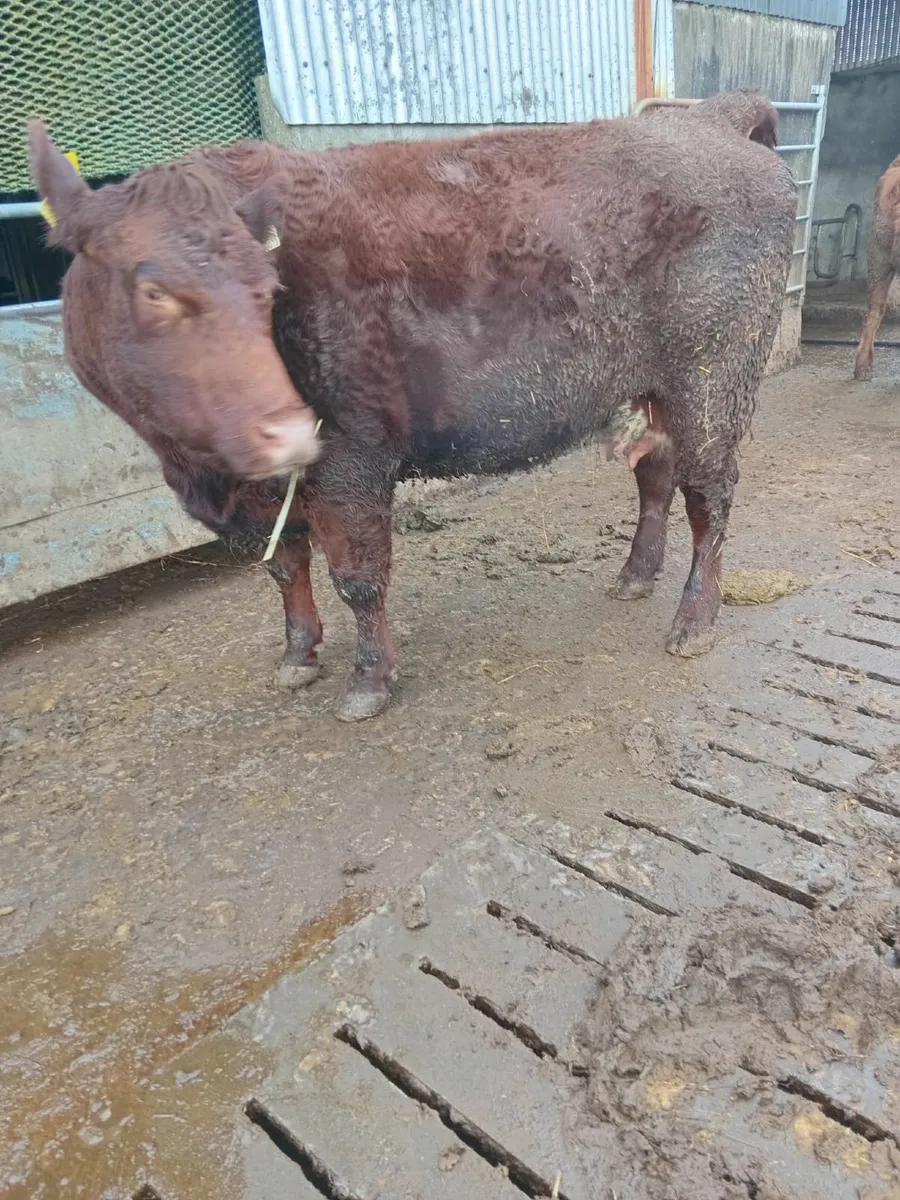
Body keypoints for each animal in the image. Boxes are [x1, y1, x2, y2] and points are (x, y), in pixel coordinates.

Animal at [28, 91, 796, 721]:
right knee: (656, 477)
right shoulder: (270, 491)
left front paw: (368, 683)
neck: (203, 472)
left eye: (266, 289)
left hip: (713, 378)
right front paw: (297, 656)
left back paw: (694, 621)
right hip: (653, 387)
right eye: (153, 290)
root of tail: (708, 118)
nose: (286, 432)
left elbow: (358, 578)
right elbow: (285, 566)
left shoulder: (352, 457)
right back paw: (634, 577)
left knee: (709, 494)